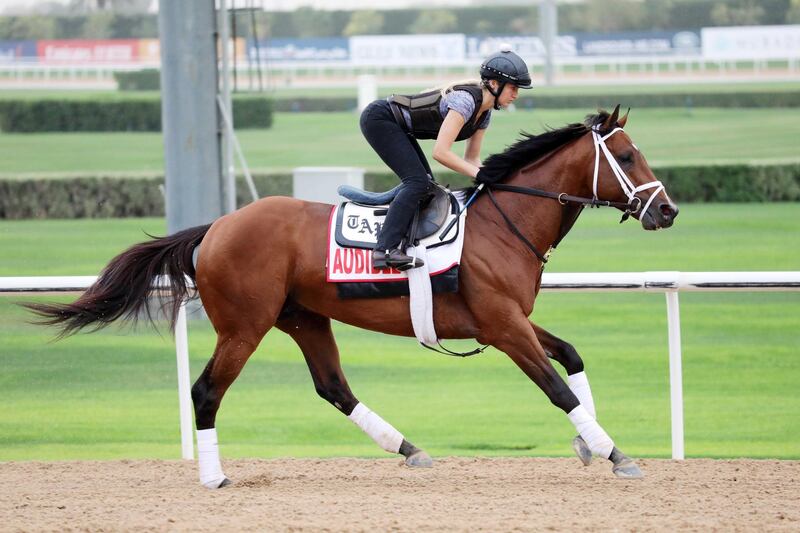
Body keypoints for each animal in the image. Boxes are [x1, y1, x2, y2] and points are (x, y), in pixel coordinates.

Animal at [25, 106, 676, 488]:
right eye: (625, 155)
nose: (667, 210)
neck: (503, 224)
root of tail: (216, 227)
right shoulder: (502, 326)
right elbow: (555, 386)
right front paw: (615, 453)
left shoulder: (506, 320)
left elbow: (570, 357)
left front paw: (590, 441)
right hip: (243, 325)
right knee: (207, 391)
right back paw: (214, 478)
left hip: (304, 318)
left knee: (333, 387)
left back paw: (409, 449)